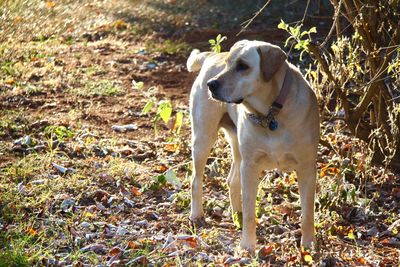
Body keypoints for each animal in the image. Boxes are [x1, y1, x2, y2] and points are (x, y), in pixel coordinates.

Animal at [186, 40, 320, 253]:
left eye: (243, 66)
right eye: (228, 64)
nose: (211, 85)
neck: (271, 114)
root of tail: (211, 56)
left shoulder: (307, 168)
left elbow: (308, 213)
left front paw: (308, 245)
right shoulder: (251, 166)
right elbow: (250, 211)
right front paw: (247, 246)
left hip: (236, 148)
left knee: (232, 181)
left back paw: (236, 216)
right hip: (203, 138)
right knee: (196, 180)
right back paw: (197, 214)